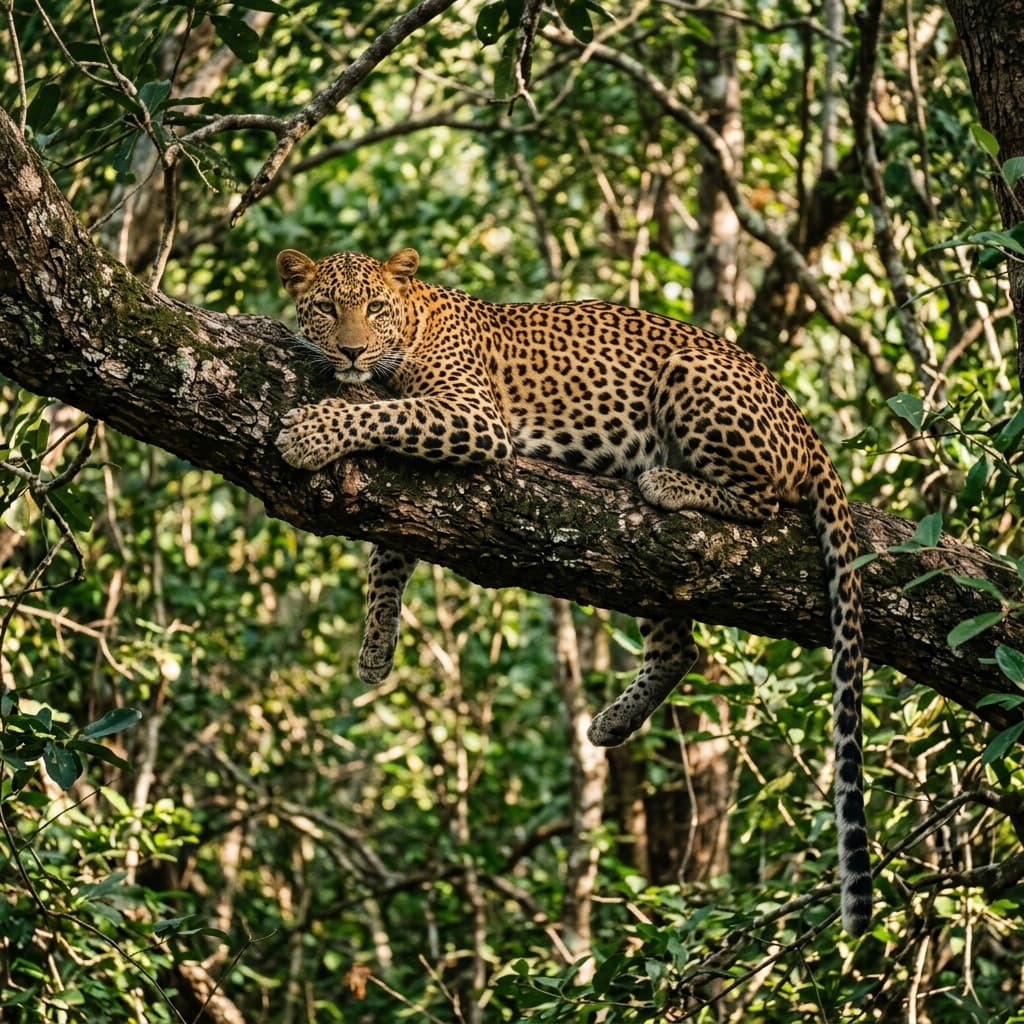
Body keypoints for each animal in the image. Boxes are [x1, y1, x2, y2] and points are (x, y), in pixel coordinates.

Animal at [274, 245, 871, 937]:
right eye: (325, 307)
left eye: (374, 307)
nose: (350, 353)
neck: (412, 326)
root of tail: (805, 423)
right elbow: (387, 558)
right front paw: (376, 646)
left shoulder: (472, 415)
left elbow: (382, 412)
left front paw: (311, 432)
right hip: (648, 574)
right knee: (679, 647)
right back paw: (612, 724)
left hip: (691, 378)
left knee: (765, 499)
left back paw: (668, 482)